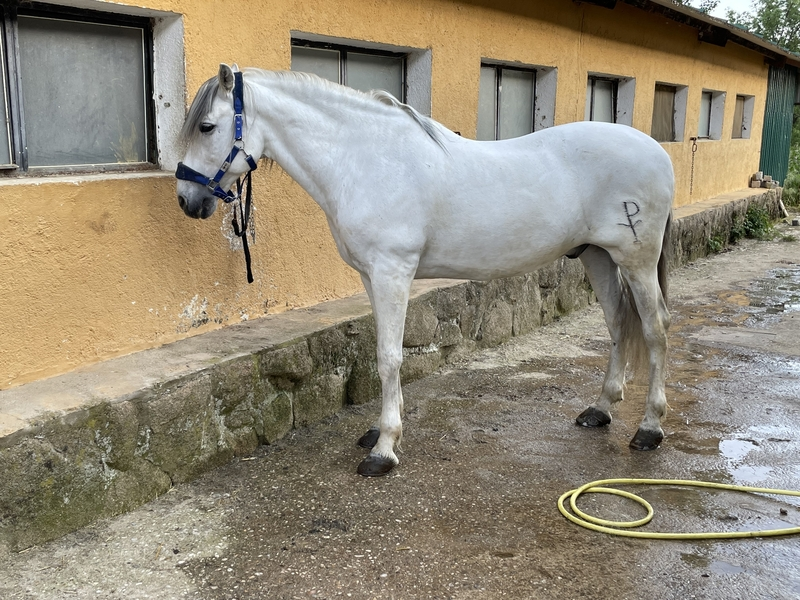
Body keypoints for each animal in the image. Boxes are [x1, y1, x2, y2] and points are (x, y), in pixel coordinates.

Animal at [176, 64, 674, 477]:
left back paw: (649, 429)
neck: (366, 160)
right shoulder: (371, 275)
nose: (186, 200)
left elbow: (389, 357)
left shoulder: (392, 272)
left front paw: (384, 449)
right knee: (618, 324)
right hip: (598, 256)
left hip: (636, 260)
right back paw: (600, 409)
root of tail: (658, 151)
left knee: (655, 330)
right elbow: (383, 351)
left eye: (206, 126)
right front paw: (380, 432)